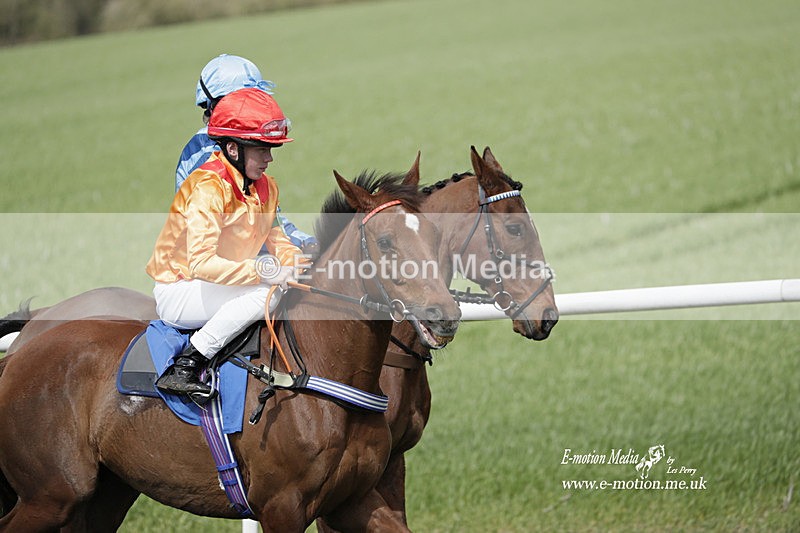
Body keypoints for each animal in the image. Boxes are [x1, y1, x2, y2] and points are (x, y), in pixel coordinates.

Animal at [0, 159, 461, 532]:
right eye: (385, 242)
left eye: (436, 236)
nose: (444, 314)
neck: (315, 372)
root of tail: (20, 350)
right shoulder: (282, 507)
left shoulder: (356, 500)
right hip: (53, 493)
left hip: (106, 493)